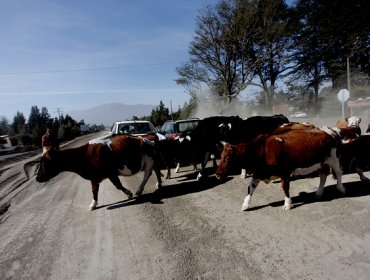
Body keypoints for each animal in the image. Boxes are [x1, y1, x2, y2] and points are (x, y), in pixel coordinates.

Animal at [215, 128, 346, 211]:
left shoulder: (285, 172)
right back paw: (319, 192)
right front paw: (245, 205)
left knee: (339, 173)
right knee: (323, 175)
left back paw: (341, 188)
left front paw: (287, 204)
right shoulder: (259, 172)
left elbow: (285, 188)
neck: (263, 150)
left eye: (227, 158)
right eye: (220, 156)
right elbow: (250, 188)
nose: (217, 174)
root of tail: (329, 132)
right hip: (320, 162)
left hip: (334, 158)